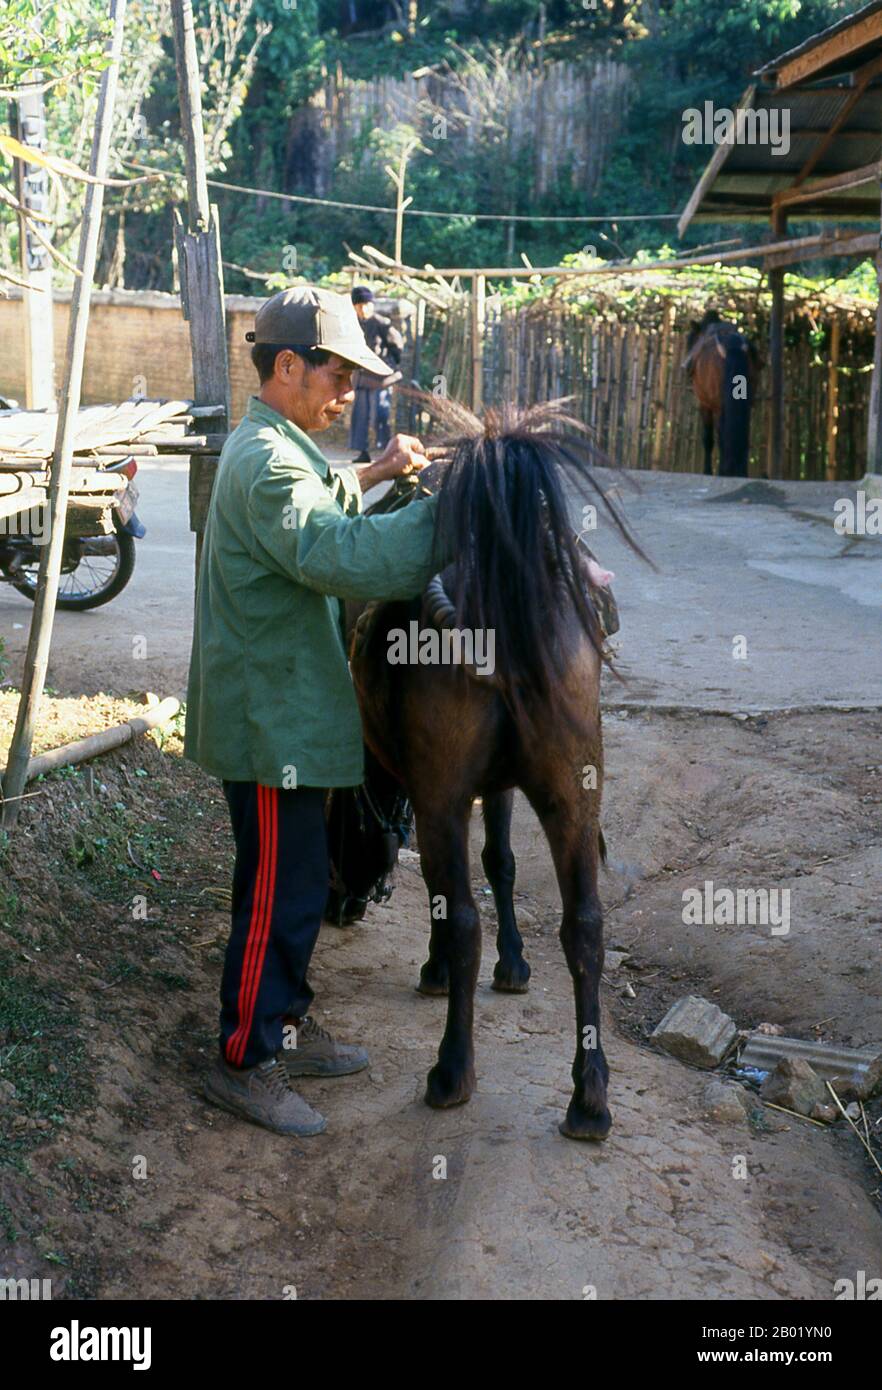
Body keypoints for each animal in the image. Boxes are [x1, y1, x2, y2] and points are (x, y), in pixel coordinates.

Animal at [350, 403, 641, 1139]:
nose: (342, 909)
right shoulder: (503, 786)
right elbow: (504, 863)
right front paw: (516, 963)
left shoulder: (437, 796)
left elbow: (455, 893)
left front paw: (436, 970)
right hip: (572, 794)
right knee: (585, 926)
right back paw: (589, 1098)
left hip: (448, 798)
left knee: (463, 921)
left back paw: (452, 1070)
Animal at [686, 307, 761, 475]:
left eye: (690, 341)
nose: (685, 365)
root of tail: (732, 348)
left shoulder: (705, 403)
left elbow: (708, 438)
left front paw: (708, 470)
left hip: (717, 404)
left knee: (721, 435)